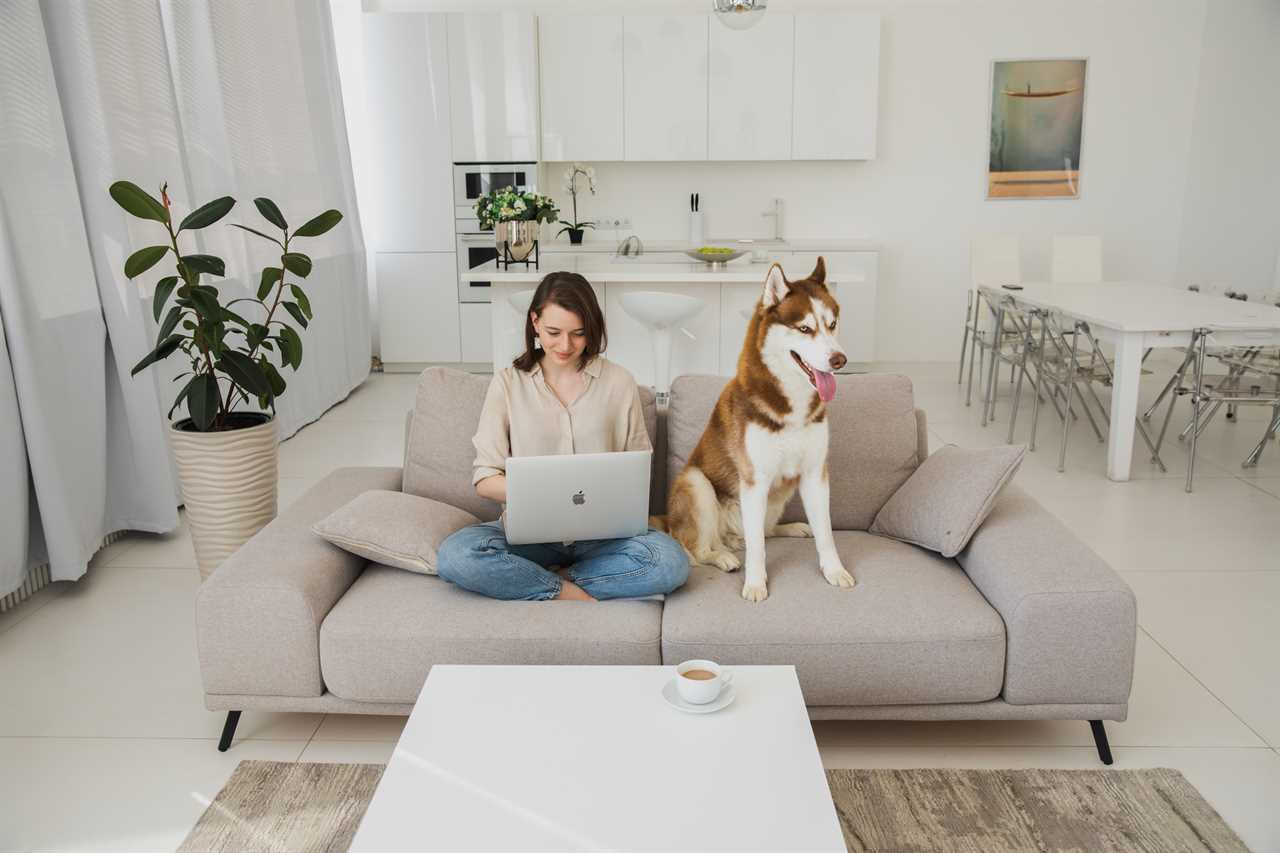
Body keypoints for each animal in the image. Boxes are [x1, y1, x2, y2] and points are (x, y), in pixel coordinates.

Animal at [665, 257, 855, 596]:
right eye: (804, 328)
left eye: (832, 324)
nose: (839, 360)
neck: (792, 404)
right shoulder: (754, 481)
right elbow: (757, 547)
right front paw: (755, 583)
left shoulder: (815, 475)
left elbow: (826, 533)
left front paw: (834, 570)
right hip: (697, 483)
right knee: (700, 549)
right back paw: (722, 556)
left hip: (777, 498)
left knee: (763, 531)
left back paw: (789, 528)